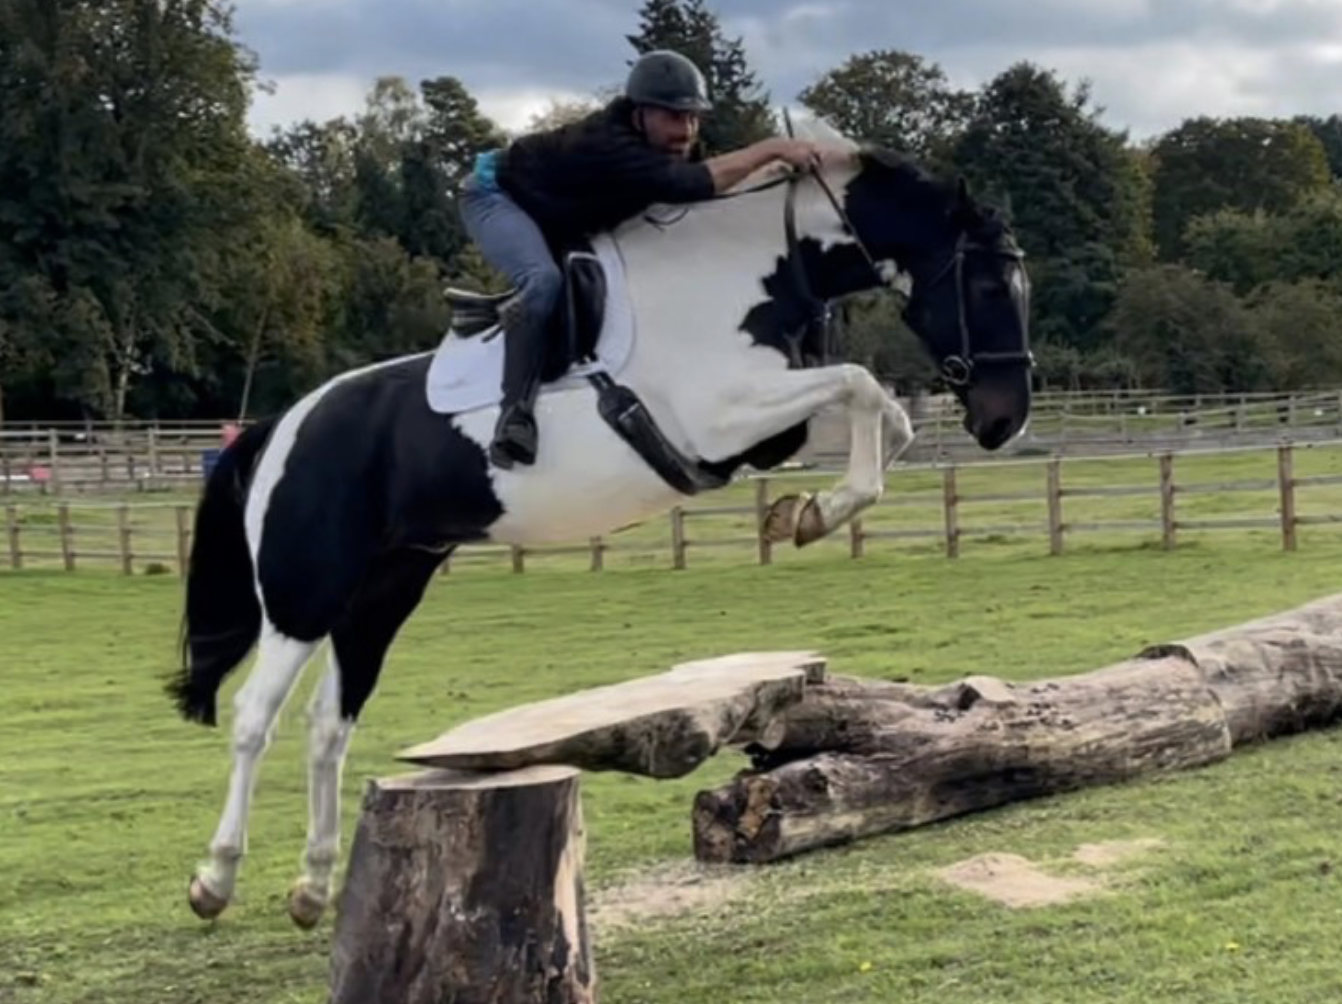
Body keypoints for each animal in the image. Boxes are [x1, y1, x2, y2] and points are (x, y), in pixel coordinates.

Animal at [167, 122, 1033, 928]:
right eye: (991, 287)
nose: (1004, 422)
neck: (743, 274)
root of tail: (282, 425)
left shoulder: (761, 428)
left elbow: (885, 411)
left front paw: (807, 512)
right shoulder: (720, 418)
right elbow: (861, 384)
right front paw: (815, 513)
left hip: (383, 590)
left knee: (328, 726)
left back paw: (313, 889)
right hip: (305, 593)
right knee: (254, 719)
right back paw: (215, 879)